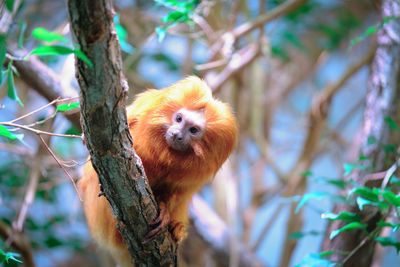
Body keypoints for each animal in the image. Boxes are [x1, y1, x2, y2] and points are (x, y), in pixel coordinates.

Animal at [79, 76, 239, 266]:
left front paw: (164, 211)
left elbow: (177, 193)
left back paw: (176, 229)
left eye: (193, 130)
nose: (176, 134)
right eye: (178, 118)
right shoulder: (144, 108)